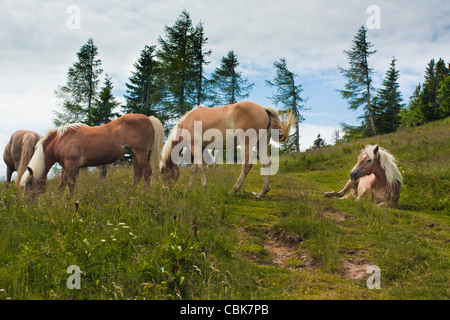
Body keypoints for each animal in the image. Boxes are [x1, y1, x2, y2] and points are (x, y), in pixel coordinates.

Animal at [19, 115, 163, 195]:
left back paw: (144, 194)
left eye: (29, 183)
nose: (26, 204)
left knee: (147, 172)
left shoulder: (71, 164)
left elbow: (71, 185)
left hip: (140, 153)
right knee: (137, 175)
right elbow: (61, 185)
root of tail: (149, 118)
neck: (60, 140)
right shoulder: (65, 166)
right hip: (134, 154)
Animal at [159, 101, 296, 196]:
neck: (187, 122)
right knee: (266, 163)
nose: (165, 190)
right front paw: (188, 189)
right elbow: (194, 169)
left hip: (246, 142)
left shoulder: (195, 147)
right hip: (261, 143)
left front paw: (204, 187)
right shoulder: (200, 149)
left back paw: (234, 190)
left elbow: (200, 168)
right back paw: (262, 192)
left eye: (162, 172)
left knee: (247, 165)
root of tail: (264, 109)